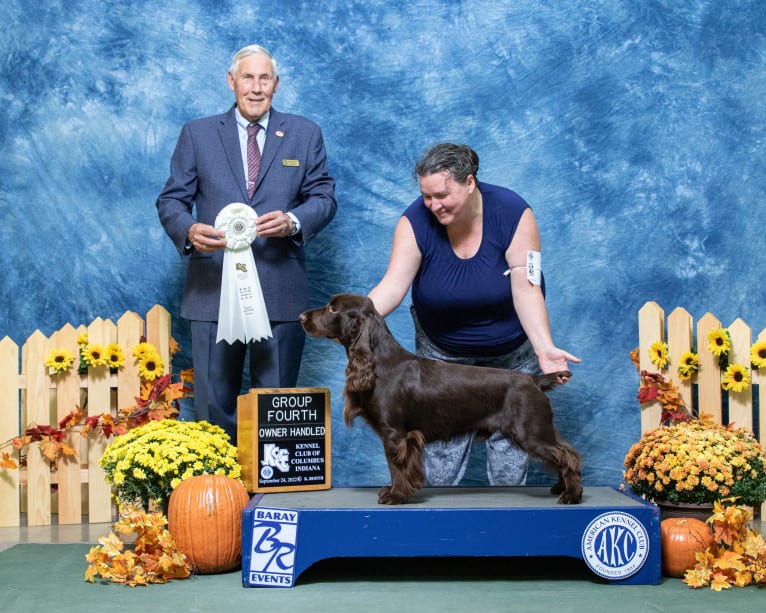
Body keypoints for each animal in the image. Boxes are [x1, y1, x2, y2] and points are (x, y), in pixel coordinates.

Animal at [300, 294, 584, 504]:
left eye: (333, 308)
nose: (301, 317)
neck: (380, 364)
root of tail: (535, 380)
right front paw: (395, 492)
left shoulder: (396, 434)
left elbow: (396, 466)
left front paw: (395, 495)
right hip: (539, 430)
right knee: (567, 451)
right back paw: (561, 488)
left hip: (531, 432)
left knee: (568, 457)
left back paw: (571, 495)